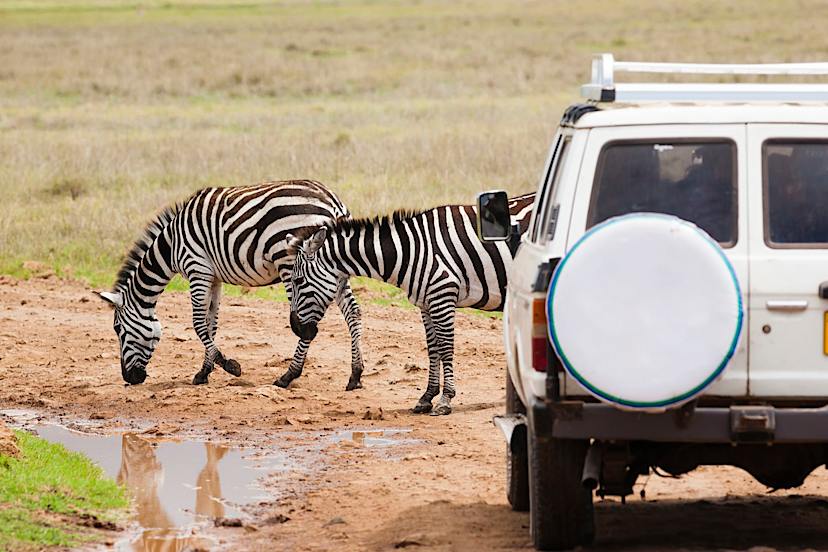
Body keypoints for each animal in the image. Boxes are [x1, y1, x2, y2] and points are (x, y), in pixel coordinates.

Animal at [96, 180, 365, 390]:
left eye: (118, 329)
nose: (129, 378)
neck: (171, 246)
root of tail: (333, 201)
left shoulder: (197, 268)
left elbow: (197, 323)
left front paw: (229, 366)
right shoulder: (214, 277)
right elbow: (211, 322)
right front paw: (204, 371)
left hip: (291, 263)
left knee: (307, 323)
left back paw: (289, 375)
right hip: (333, 267)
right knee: (352, 311)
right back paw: (355, 374)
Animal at [286, 193, 535, 415]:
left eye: (298, 281)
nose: (297, 329)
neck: (411, 251)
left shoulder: (442, 297)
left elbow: (446, 348)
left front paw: (445, 400)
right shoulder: (426, 303)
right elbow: (433, 349)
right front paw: (427, 397)